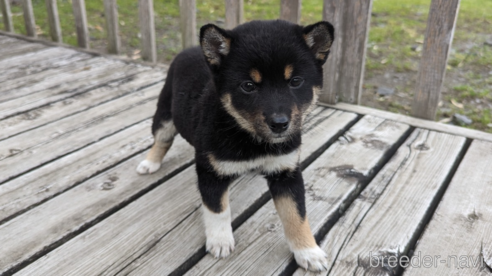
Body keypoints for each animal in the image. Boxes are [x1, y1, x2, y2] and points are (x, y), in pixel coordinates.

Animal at [136, 20, 332, 272]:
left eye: (296, 81)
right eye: (248, 86)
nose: (279, 124)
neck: (249, 137)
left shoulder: (286, 172)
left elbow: (296, 215)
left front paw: (308, 251)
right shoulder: (211, 172)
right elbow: (218, 209)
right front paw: (220, 241)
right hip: (165, 113)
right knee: (162, 139)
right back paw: (150, 163)